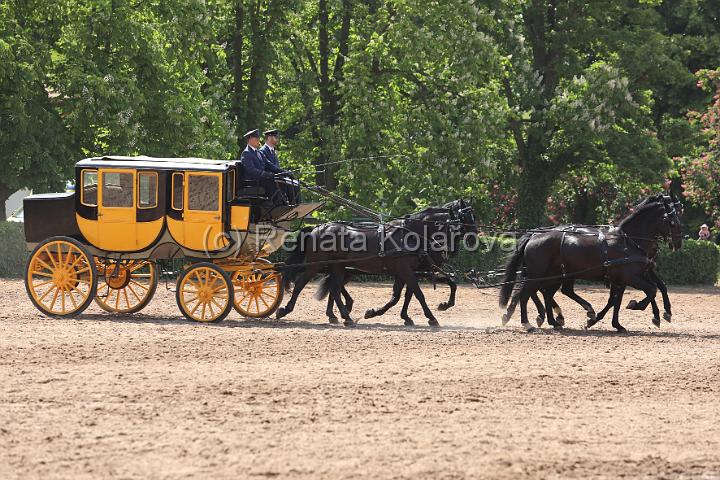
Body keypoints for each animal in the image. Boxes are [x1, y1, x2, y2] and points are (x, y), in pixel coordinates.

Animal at [278, 199, 476, 326]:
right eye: (463, 221)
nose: (474, 240)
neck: (412, 233)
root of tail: (317, 227)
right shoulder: (407, 270)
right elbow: (417, 294)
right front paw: (431, 317)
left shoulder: (408, 271)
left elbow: (401, 296)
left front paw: (381, 314)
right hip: (316, 264)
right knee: (301, 283)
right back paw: (285, 310)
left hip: (338, 266)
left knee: (334, 288)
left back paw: (345, 317)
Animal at [498, 193, 684, 332]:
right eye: (673, 222)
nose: (678, 243)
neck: (629, 240)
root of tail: (534, 235)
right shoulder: (631, 277)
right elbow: (651, 290)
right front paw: (638, 306)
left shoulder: (624, 279)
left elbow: (618, 300)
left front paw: (617, 324)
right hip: (539, 273)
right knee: (526, 294)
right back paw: (528, 323)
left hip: (554, 274)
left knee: (545, 293)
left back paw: (554, 320)